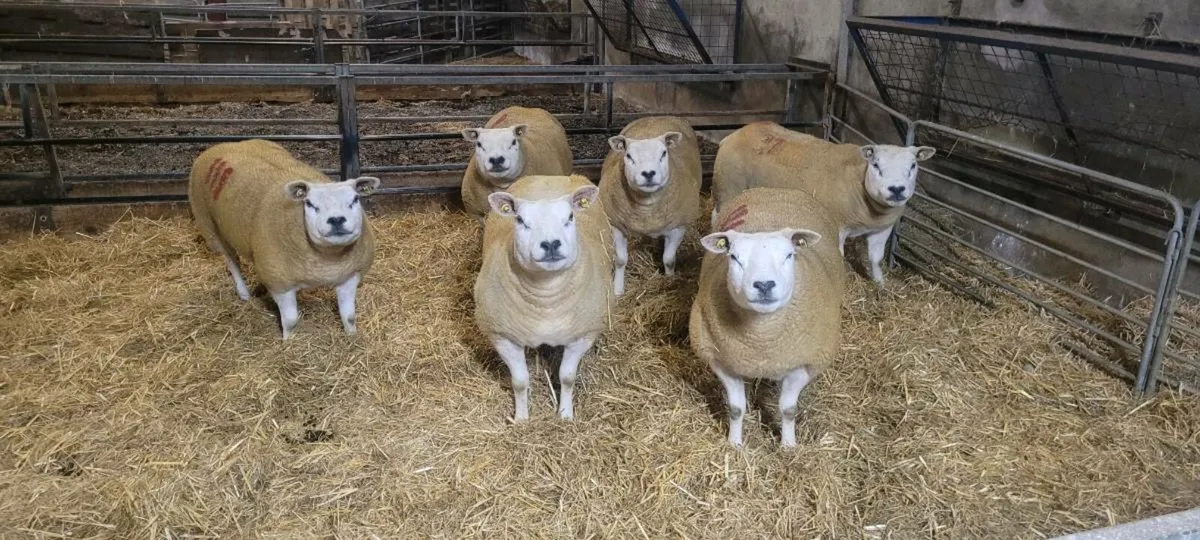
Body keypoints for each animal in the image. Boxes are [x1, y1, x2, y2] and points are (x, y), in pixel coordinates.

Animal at [188, 139, 380, 339]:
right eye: (309, 204)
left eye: (355, 199)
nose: (336, 220)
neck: (328, 259)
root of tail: (225, 144)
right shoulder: (281, 285)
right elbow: (290, 320)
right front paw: (289, 341)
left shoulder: (350, 276)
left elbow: (349, 316)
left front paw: (351, 337)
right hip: (210, 226)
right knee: (232, 261)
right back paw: (243, 293)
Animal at [474, 174, 613, 421]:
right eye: (520, 220)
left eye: (570, 217)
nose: (550, 244)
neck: (545, 299)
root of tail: (548, 177)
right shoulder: (503, 336)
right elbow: (519, 382)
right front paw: (521, 418)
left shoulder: (582, 335)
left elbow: (567, 377)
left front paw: (565, 415)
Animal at [598, 116, 702, 296]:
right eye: (629, 156)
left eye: (664, 153)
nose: (648, 173)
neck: (646, 209)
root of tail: (659, 116)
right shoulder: (616, 225)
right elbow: (620, 260)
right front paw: (618, 289)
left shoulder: (679, 226)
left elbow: (669, 259)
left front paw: (670, 280)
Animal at [689, 187, 844, 448]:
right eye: (734, 257)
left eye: (789, 255)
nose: (764, 285)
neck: (761, 342)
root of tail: (775, 189)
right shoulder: (722, 361)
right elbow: (735, 409)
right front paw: (734, 444)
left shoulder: (803, 365)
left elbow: (788, 410)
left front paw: (788, 446)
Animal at [712, 121, 935, 284]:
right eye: (876, 165)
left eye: (913, 165)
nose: (897, 189)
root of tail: (735, 134)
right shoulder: (837, 227)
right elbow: (839, 257)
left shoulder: (882, 229)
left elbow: (875, 258)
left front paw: (880, 283)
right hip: (728, 187)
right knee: (717, 215)